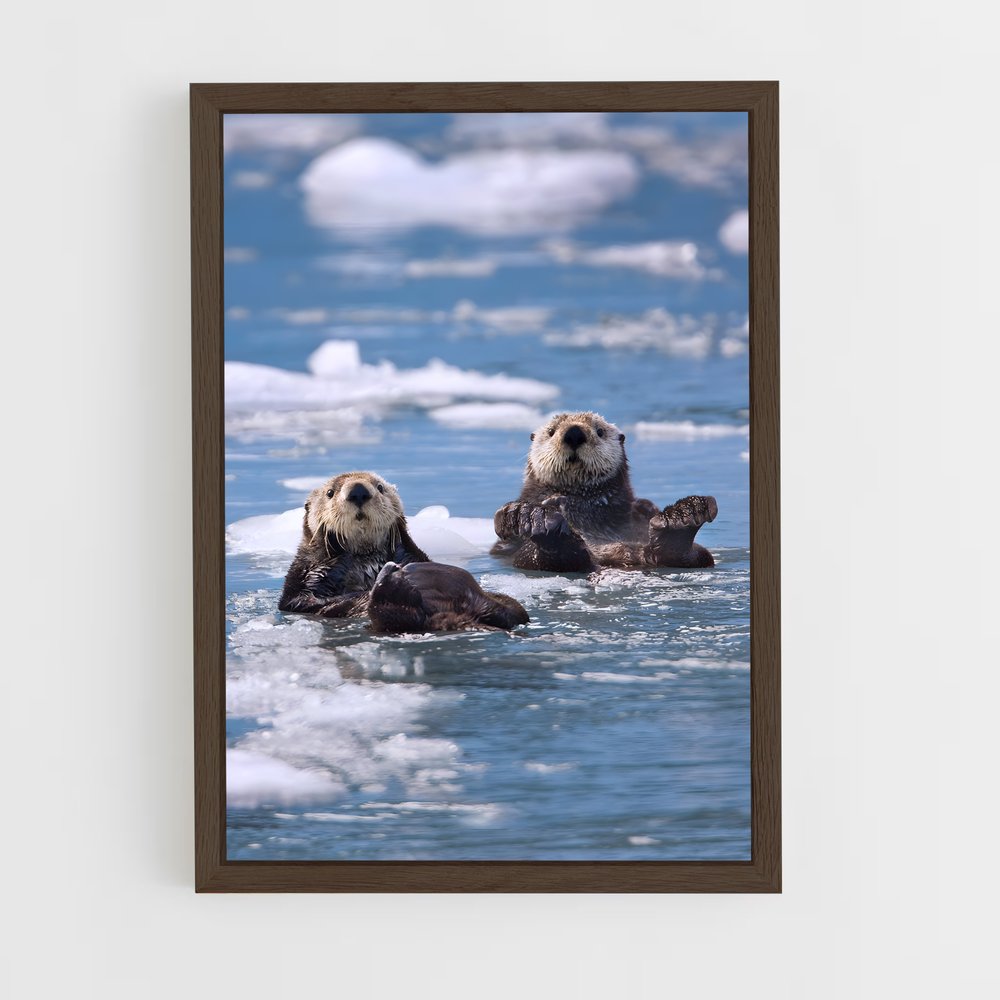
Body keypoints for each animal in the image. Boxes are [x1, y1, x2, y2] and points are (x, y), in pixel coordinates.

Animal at [493, 411, 718, 573]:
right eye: (551, 431)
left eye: (600, 431)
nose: (574, 433)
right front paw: (518, 512)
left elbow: (643, 506)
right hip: (528, 558)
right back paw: (537, 520)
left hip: (693, 554)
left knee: (692, 555)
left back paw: (683, 516)